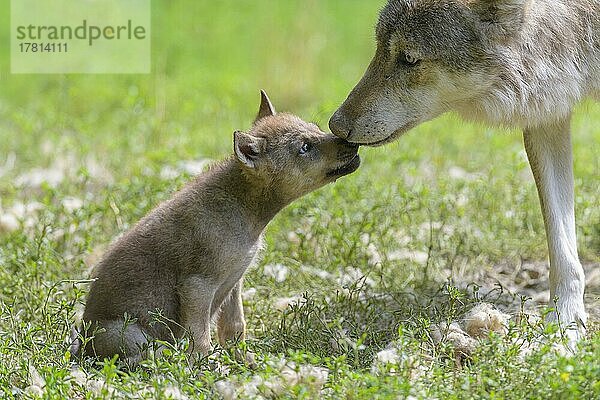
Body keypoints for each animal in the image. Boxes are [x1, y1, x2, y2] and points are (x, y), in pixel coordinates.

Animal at [330, 0, 596, 346]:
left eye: (409, 58)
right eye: (379, 49)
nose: (335, 126)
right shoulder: (546, 114)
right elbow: (561, 245)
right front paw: (564, 321)